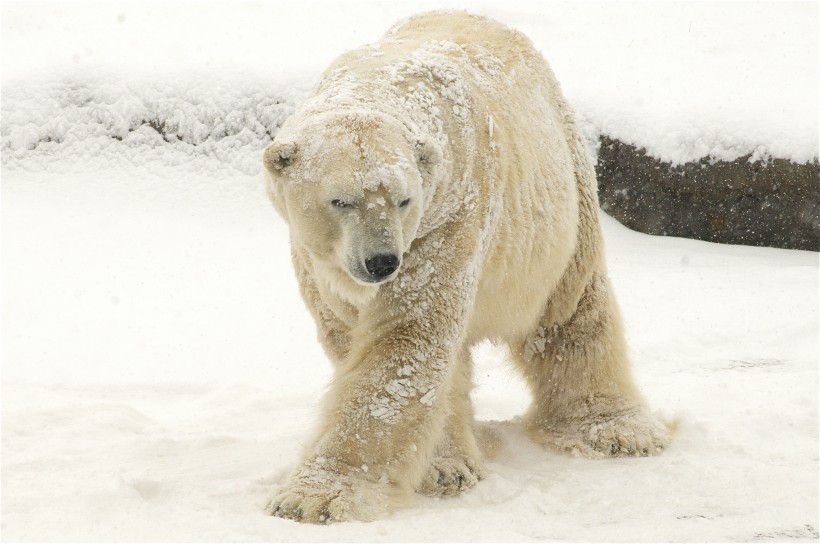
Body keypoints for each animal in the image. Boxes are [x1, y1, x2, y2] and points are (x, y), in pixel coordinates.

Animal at [262, 11, 672, 524]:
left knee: (570, 311)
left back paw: (616, 428)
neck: (381, 83)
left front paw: (313, 498)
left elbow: (405, 342)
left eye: (403, 199)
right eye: (340, 200)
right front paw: (442, 468)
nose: (382, 261)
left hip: (563, 194)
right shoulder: (321, 260)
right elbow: (362, 335)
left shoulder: (448, 216)